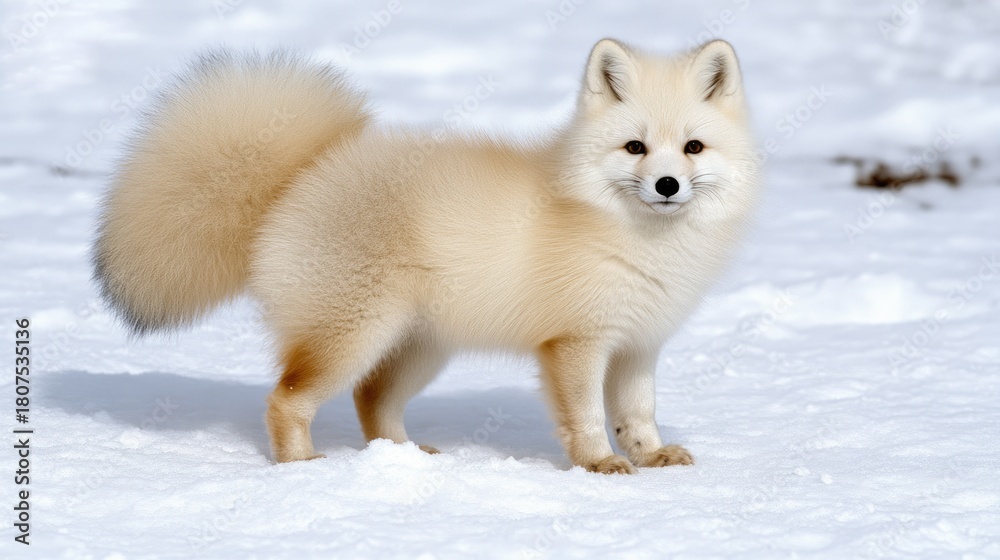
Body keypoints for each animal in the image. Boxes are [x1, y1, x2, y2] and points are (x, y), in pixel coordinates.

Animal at [93, 38, 761, 474]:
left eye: (693, 148)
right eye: (635, 147)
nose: (667, 186)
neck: (639, 243)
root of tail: (309, 171)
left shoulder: (638, 345)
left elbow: (639, 414)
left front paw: (651, 457)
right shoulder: (576, 343)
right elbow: (589, 418)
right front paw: (599, 464)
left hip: (419, 348)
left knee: (370, 400)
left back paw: (403, 458)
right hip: (350, 337)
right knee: (285, 399)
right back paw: (304, 468)